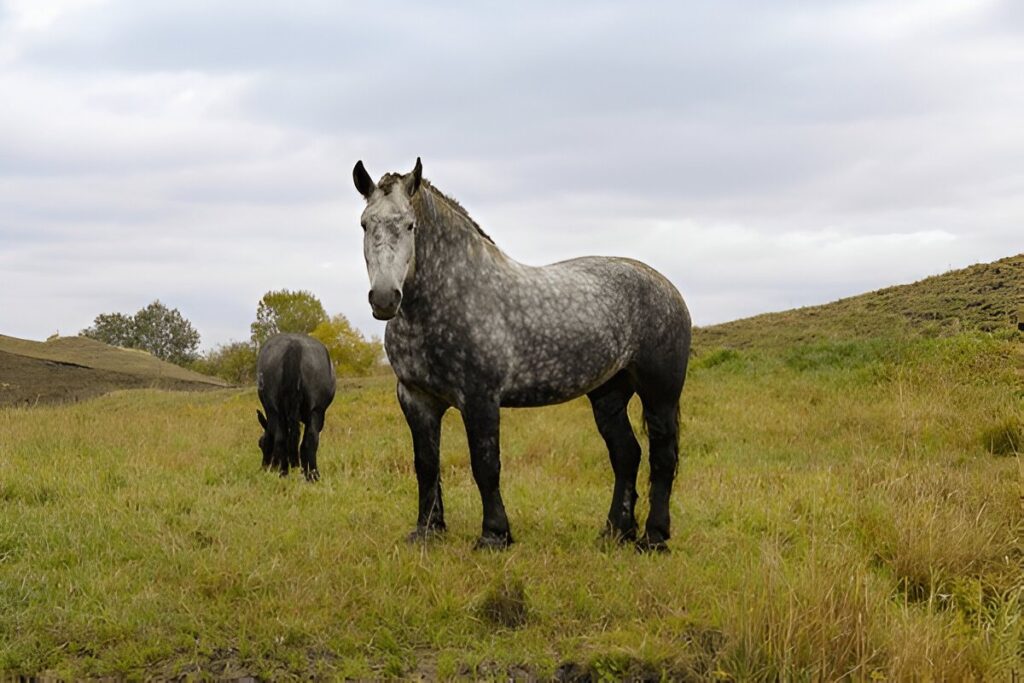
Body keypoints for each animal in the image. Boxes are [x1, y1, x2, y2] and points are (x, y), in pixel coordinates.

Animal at [256, 333, 335, 483]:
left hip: (278, 411)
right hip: (316, 411)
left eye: (261, 444)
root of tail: (294, 346)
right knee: (308, 441)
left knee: (283, 439)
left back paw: (286, 473)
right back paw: (311, 475)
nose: (264, 468)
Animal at [354, 158, 696, 548]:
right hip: (608, 395)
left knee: (662, 458)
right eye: (365, 223)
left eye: (410, 225)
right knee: (626, 455)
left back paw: (654, 537)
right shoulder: (416, 398)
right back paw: (614, 531)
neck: (452, 293)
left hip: (660, 394)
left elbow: (486, 465)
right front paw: (427, 530)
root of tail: (666, 287)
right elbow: (426, 465)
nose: (384, 298)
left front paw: (494, 535)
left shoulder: (480, 398)